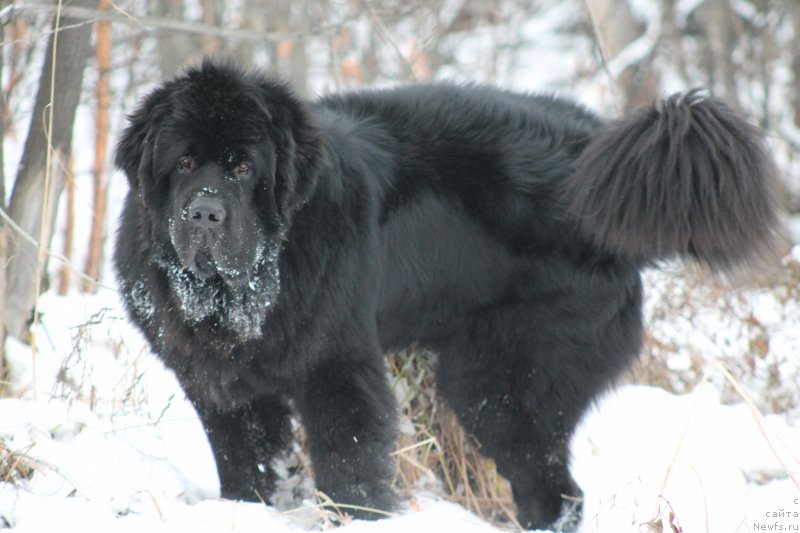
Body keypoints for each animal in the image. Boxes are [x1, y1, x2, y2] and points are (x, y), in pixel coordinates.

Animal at [115, 59, 780, 528]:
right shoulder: (221, 387)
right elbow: (247, 462)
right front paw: (245, 511)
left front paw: (358, 517)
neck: (244, 296)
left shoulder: (337, 368)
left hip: (509, 381)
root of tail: (597, 177)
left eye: (244, 168)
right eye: (183, 163)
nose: (204, 214)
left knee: (554, 487)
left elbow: (350, 463)